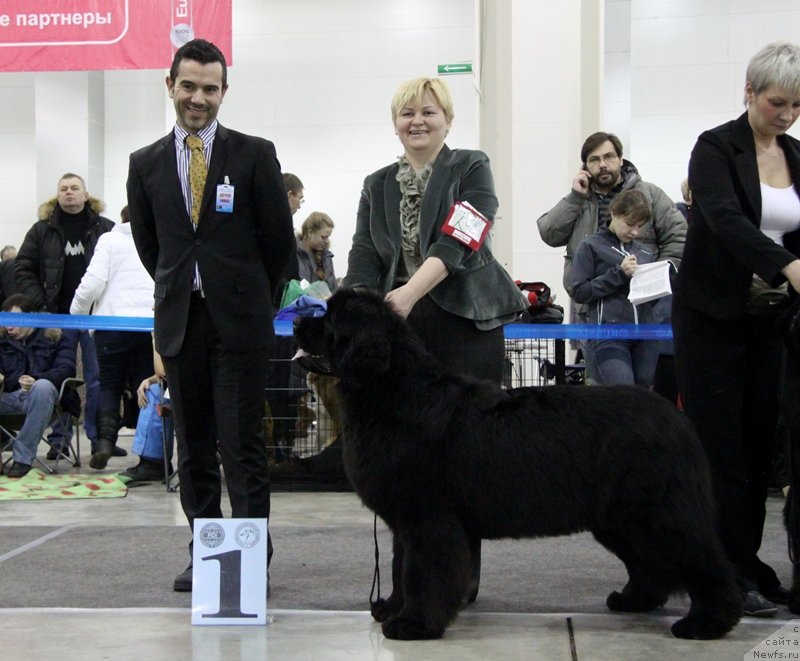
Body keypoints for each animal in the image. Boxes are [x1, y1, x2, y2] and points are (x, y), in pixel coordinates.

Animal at [294, 288, 744, 640]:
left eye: (329, 319)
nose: (296, 320)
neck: (393, 391)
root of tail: (676, 417)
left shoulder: (428, 518)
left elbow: (422, 572)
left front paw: (414, 624)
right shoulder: (405, 522)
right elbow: (399, 566)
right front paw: (392, 607)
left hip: (659, 511)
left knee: (704, 560)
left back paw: (709, 623)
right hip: (619, 518)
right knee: (651, 562)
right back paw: (633, 600)